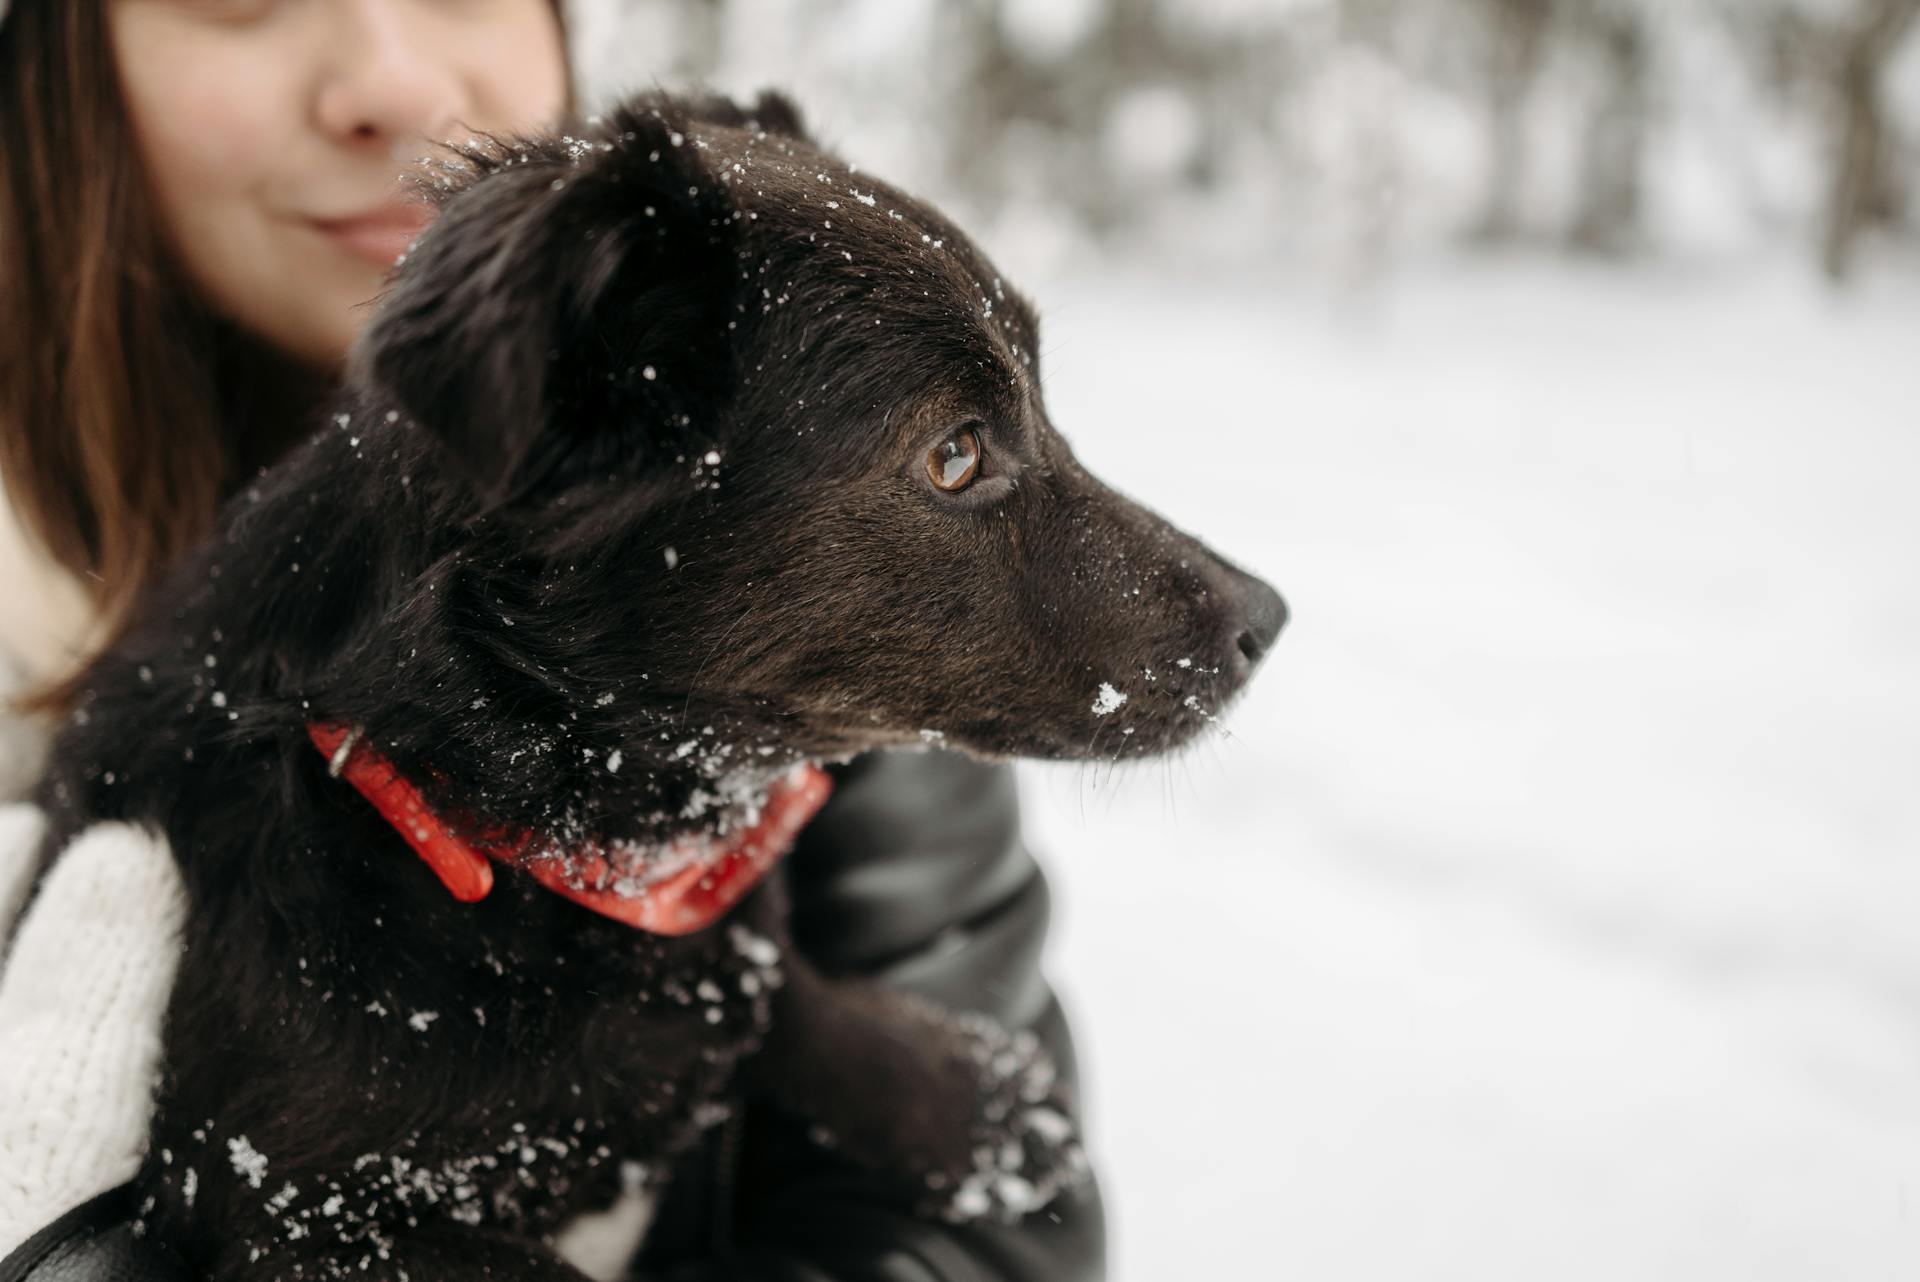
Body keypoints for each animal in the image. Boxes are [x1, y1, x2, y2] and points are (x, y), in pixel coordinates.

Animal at [30, 92, 1282, 1282]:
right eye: (957, 453)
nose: (1267, 618)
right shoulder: (296, 1202)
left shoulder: (703, 945)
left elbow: (768, 987)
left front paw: (972, 1102)